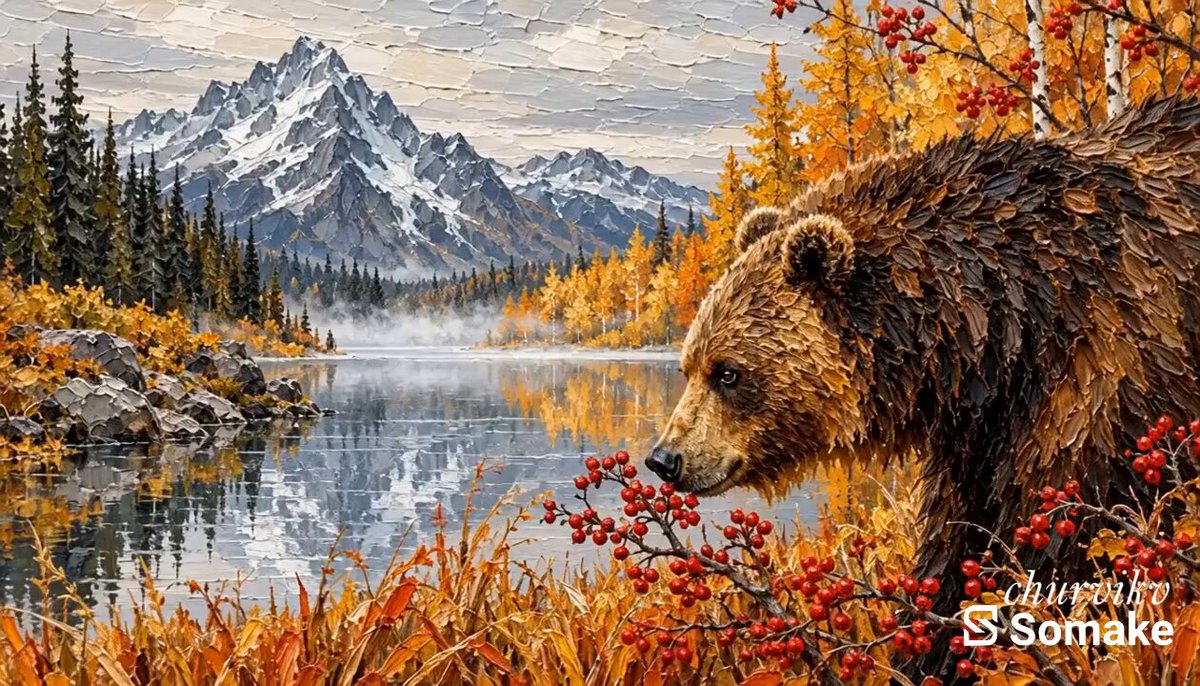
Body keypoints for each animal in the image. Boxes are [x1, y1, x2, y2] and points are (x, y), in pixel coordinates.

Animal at [645, 95, 1200, 671]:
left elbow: (1063, 541)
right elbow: (957, 540)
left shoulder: (1096, 383)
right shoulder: (977, 432)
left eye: (728, 372)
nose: (665, 458)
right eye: (688, 366)